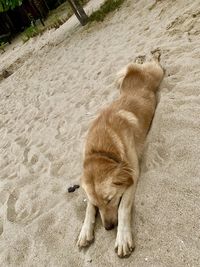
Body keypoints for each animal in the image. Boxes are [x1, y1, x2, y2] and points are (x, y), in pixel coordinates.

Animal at [77, 51, 163, 258]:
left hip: (158, 74)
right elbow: (88, 209)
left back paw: (154, 54)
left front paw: (122, 237)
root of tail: (134, 72)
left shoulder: (133, 174)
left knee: (155, 62)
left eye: (109, 199)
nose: (108, 227)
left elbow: (123, 207)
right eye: (98, 204)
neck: (103, 151)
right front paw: (85, 230)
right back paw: (141, 57)